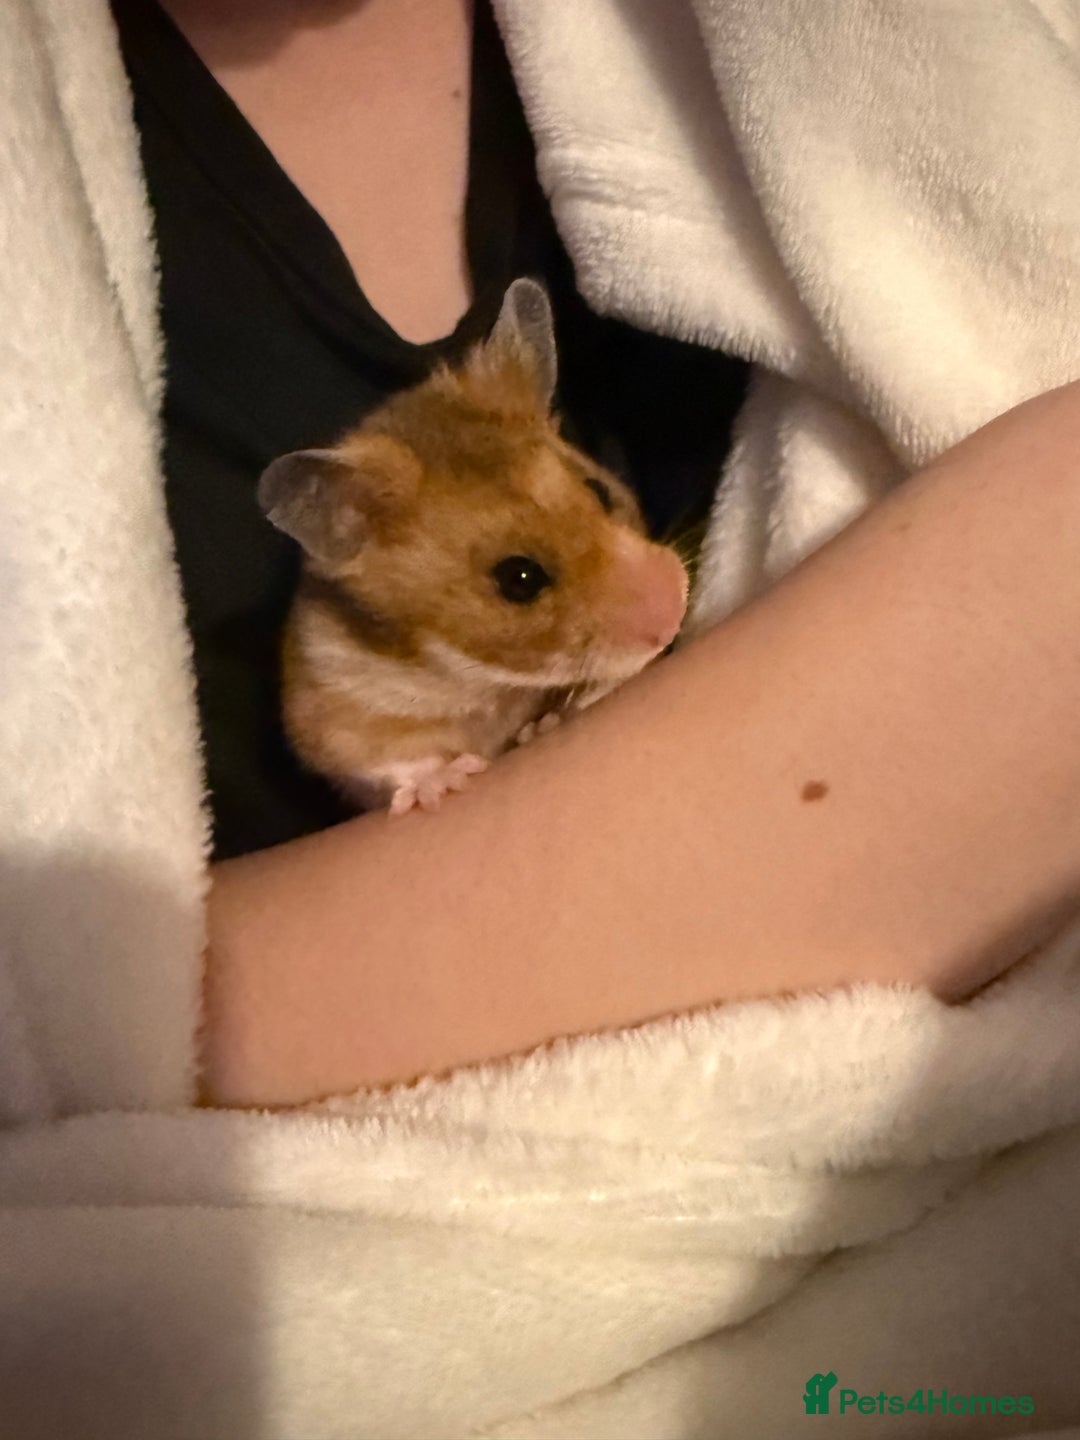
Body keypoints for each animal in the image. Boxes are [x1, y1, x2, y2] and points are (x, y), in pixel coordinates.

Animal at [258, 278, 689, 815]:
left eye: (599, 491)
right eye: (519, 578)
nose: (676, 607)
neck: (481, 681)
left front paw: (544, 724)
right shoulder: (332, 713)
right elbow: (384, 759)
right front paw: (448, 781)